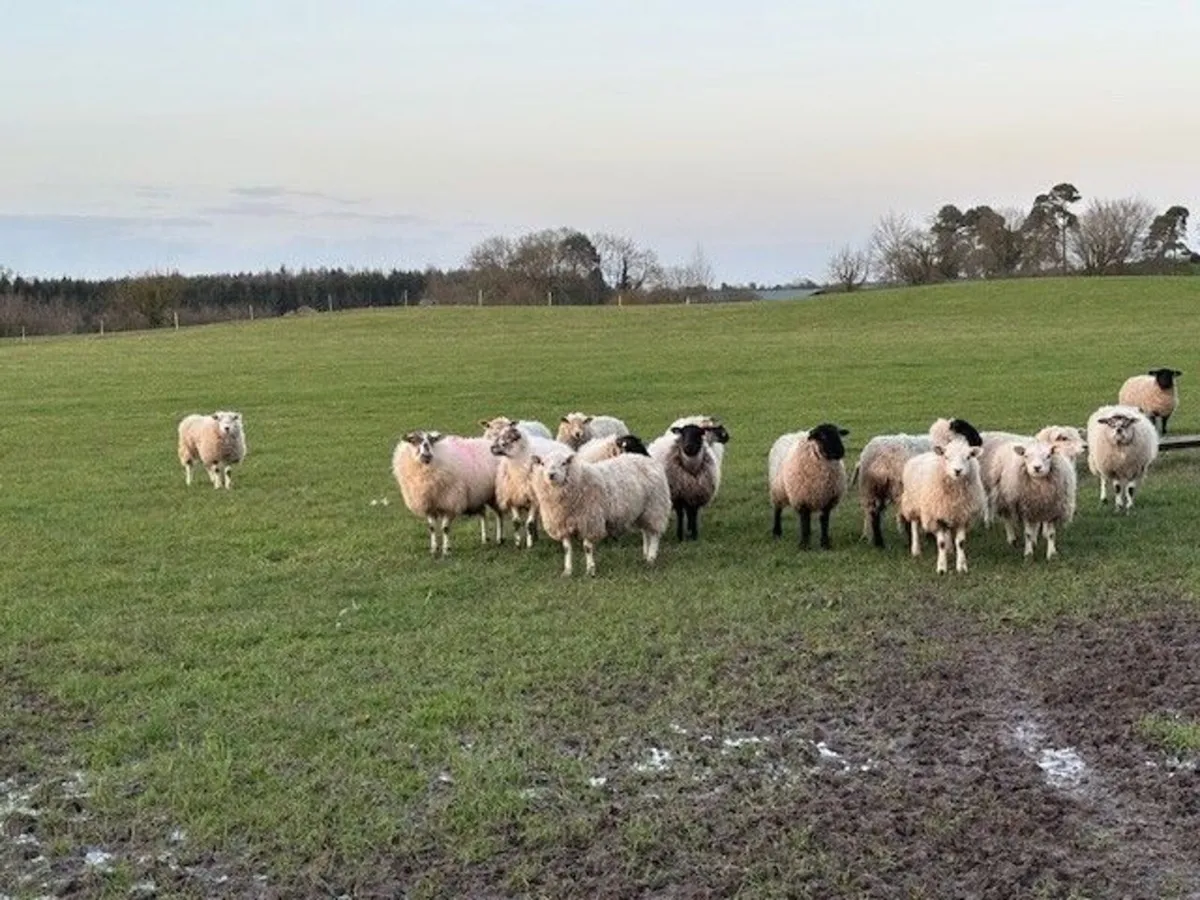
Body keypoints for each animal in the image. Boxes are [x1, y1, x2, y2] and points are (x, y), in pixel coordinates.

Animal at [528, 447, 671, 576]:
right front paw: (567, 571)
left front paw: (590, 570)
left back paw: (651, 558)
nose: (551, 475)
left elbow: (587, 547)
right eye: (542, 463)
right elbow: (567, 549)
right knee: (646, 532)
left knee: (654, 534)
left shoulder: (590, 521)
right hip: (643, 511)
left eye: (564, 463)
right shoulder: (563, 524)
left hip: (655, 506)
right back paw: (645, 555)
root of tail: (648, 460)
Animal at [852, 418, 980, 548]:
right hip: (898, 489)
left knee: (875, 515)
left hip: (872, 489)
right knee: (902, 518)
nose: (980, 442)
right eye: (968, 430)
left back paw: (879, 543)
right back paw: (907, 542)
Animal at [898, 438, 987, 574]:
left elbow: (961, 543)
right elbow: (941, 543)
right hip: (912, 503)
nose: (958, 471)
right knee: (914, 526)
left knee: (948, 531)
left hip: (947, 512)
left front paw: (961, 566)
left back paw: (950, 549)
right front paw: (941, 568)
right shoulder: (936, 517)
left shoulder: (962, 516)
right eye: (946, 457)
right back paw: (916, 549)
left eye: (968, 457)